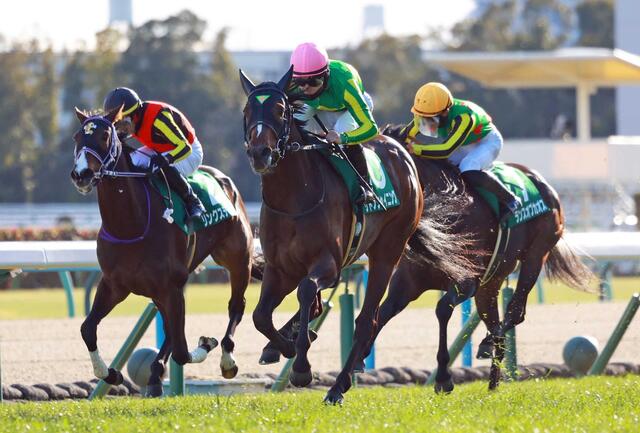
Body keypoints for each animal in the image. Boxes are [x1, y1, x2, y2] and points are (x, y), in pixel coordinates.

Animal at [70, 106, 258, 396]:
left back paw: (227, 359)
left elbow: (182, 351)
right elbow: (87, 328)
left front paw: (206, 343)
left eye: (104, 136)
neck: (132, 224)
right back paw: (156, 375)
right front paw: (111, 373)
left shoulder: (170, 285)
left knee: (236, 306)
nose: (81, 174)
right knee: (171, 328)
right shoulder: (115, 284)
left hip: (238, 260)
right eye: (78, 137)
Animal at [350, 125, 596, 392]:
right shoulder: (408, 281)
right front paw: (356, 363)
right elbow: (383, 312)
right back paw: (492, 382)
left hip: (535, 256)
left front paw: (443, 378)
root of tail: (542, 182)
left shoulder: (467, 281)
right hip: (491, 283)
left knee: (515, 312)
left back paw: (488, 346)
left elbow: (442, 309)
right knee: (496, 320)